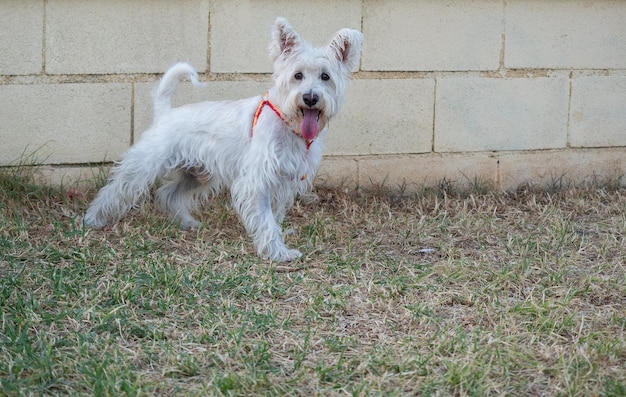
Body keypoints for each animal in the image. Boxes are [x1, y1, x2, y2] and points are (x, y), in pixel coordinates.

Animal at [85, 17, 364, 262]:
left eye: (325, 77)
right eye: (298, 75)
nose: (310, 97)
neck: (288, 122)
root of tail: (166, 112)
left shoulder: (284, 181)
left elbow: (273, 216)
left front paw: (276, 244)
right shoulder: (256, 181)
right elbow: (266, 220)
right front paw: (278, 253)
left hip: (198, 174)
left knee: (168, 194)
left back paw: (187, 222)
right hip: (143, 168)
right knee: (114, 191)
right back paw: (92, 219)